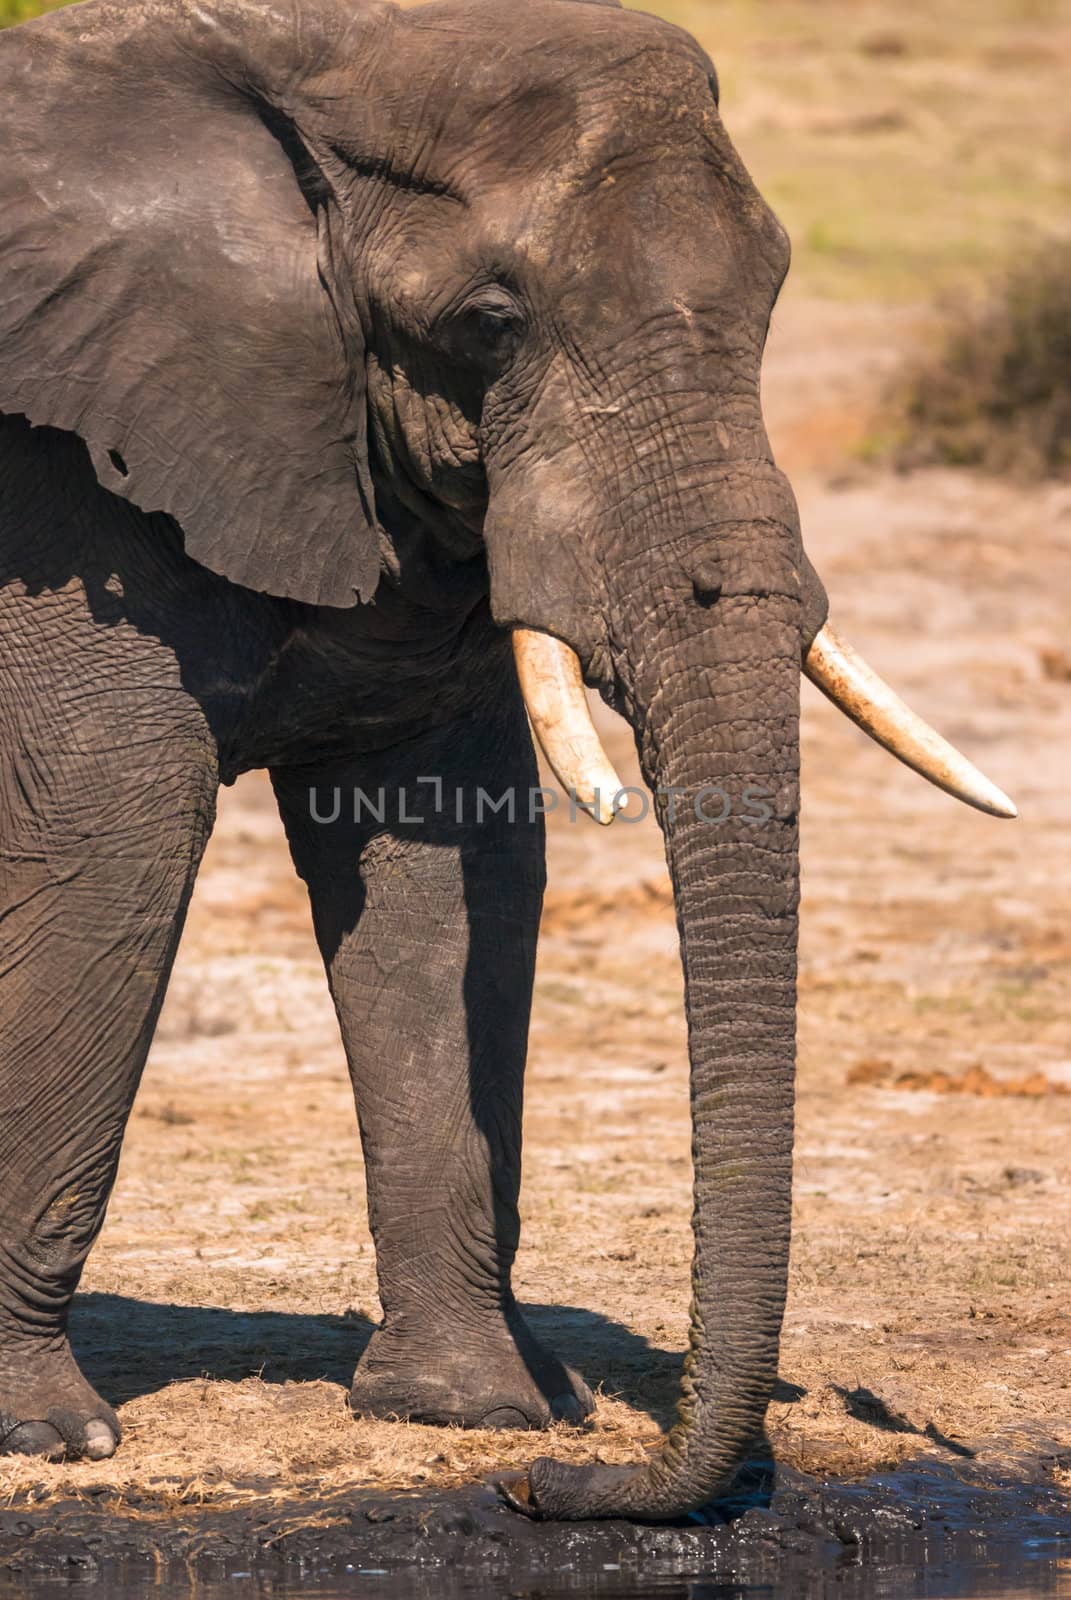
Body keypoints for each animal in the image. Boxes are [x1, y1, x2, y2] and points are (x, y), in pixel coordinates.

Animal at [0, 0, 1011, 1516]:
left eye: (774, 293)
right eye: (487, 322)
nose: (560, 1487)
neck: (313, 58)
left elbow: (445, 868)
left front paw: (470, 1412)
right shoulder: (67, 493)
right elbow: (112, 840)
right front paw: (47, 1437)